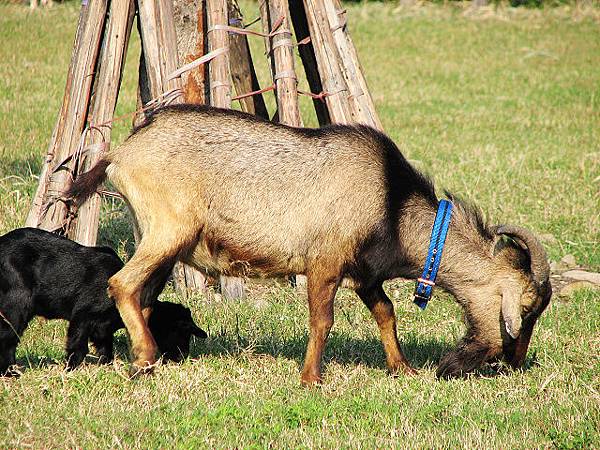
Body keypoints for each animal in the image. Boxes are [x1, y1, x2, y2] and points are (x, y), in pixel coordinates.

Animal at [68, 105, 552, 384]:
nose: (514, 363)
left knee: (144, 294)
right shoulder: (325, 261)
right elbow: (323, 320)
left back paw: (146, 357)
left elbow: (386, 312)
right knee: (123, 284)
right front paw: (311, 378)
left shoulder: (363, 273)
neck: (391, 202)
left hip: (161, 240)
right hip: (169, 230)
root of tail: (120, 154)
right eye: (527, 309)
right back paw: (145, 357)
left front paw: (402, 367)